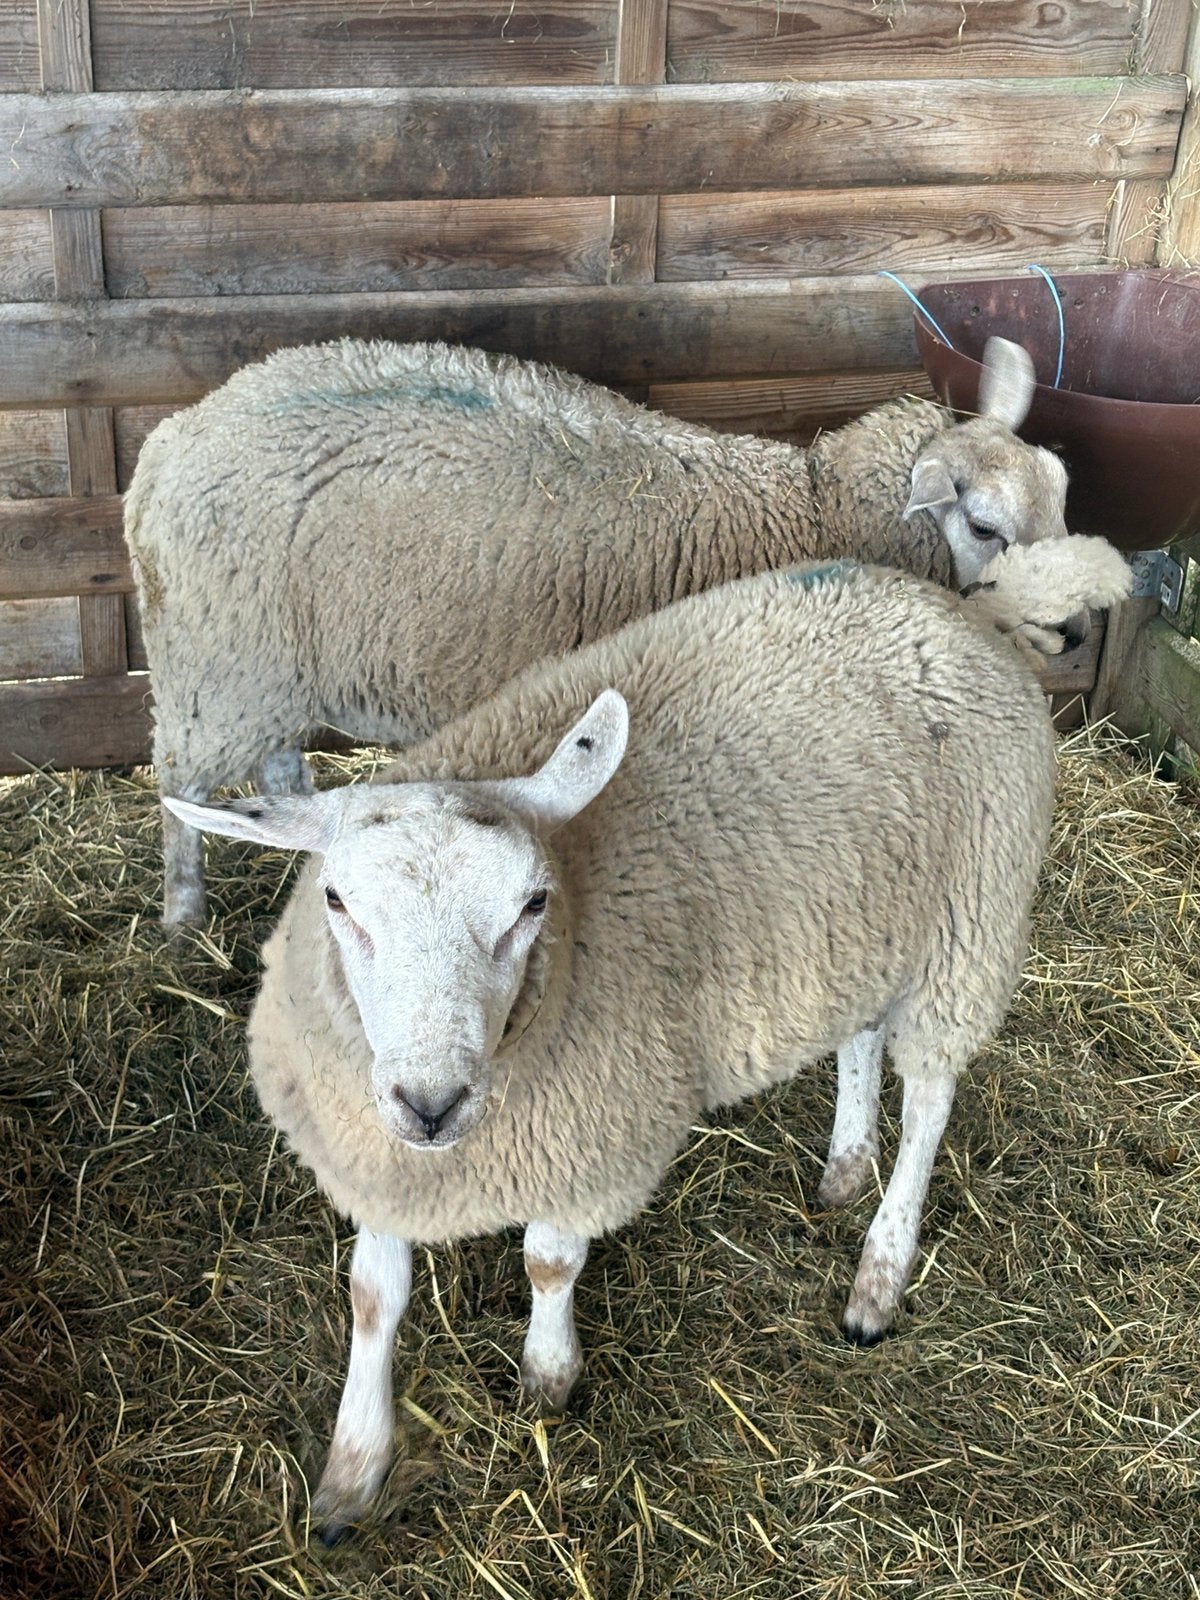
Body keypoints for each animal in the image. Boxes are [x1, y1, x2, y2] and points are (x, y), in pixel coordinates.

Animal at [125, 332, 1074, 928]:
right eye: (984, 526)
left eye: (1062, 491)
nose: (1075, 635)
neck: (811, 516)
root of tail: (169, 440)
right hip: (216, 663)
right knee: (179, 786)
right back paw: (182, 914)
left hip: (272, 666)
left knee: (279, 765)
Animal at [167, 556, 1061, 1540]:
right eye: (336, 900)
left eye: (533, 904)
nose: (432, 1104)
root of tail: (945, 604)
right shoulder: (372, 1154)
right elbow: (372, 1297)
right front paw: (350, 1473)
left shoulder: (592, 1132)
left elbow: (549, 1262)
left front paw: (547, 1378)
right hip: (866, 922)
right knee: (861, 1036)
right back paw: (844, 1165)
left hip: (969, 924)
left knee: (932, 1099)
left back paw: (880, 1272)